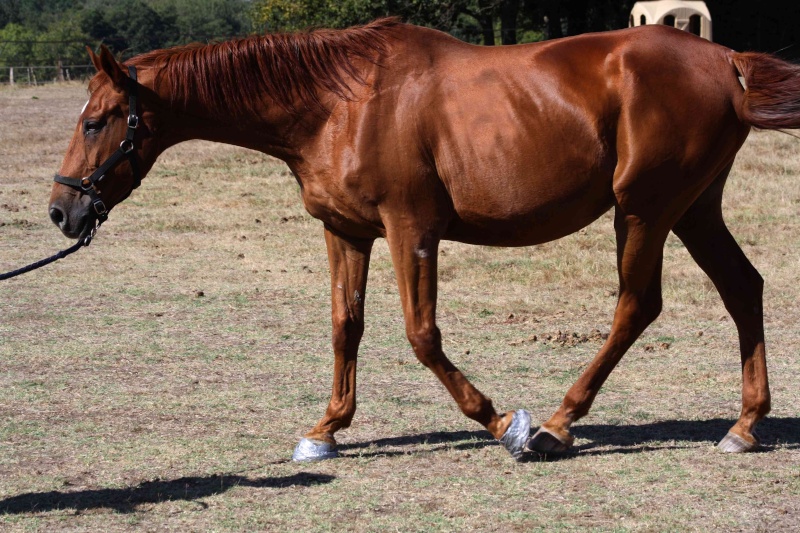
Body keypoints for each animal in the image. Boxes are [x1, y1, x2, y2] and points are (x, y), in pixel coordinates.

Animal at [48, 18, 800, 460]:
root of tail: (725, 60)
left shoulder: (411, 228)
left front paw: (501, 423)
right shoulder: (346, 231)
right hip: (693, 210)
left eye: (98, 120)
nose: (62, 210)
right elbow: (345, 325)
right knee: (743, 289)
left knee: (636, 307)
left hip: (644, 212)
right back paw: (744, 425)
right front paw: (326, 429)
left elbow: (421, 334)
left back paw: (556, 423)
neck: (339, 102)